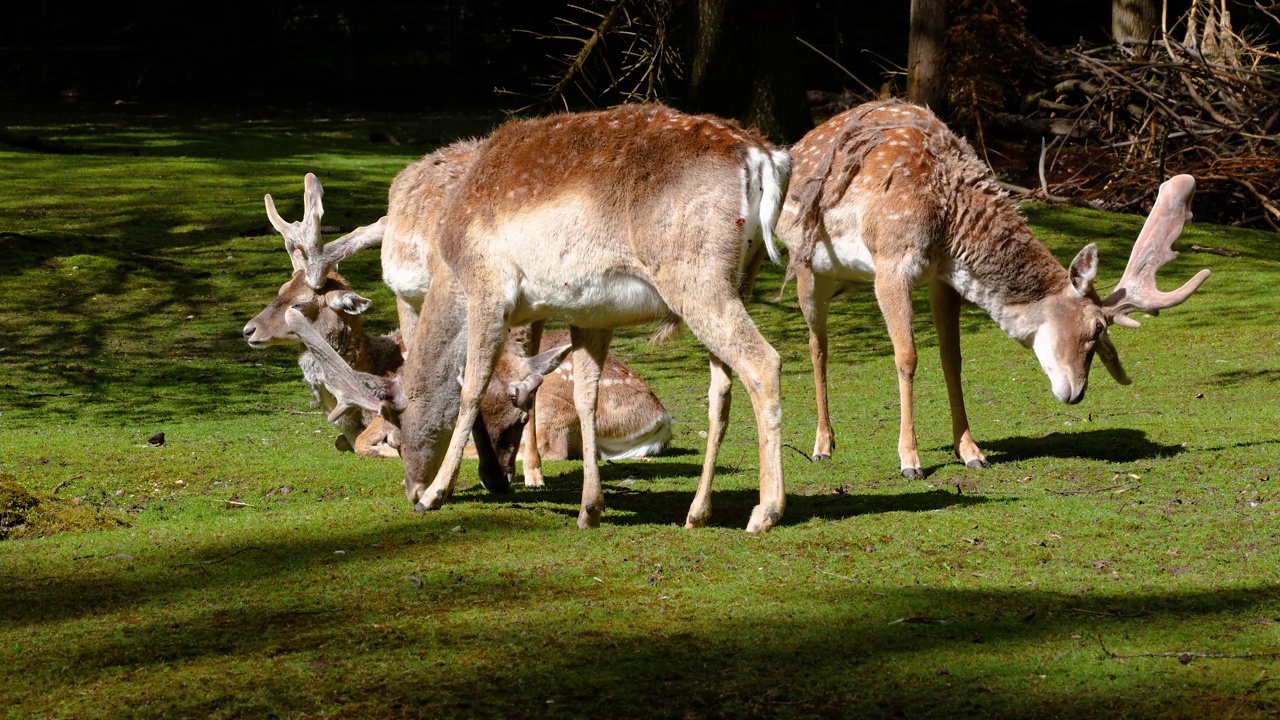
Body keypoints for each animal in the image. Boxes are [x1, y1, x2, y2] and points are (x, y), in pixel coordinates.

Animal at [394, 103, 793, 530]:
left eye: (396, 432)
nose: (411, 489)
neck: (450, 269)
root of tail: (766, 156)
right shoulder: (591, 316)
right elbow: (586, 396)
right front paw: (589, 508)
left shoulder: (487, 289)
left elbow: (472, 387)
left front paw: (435, 495)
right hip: (740, 280)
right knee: (722, 388)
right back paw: (697, 512)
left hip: (697, 279)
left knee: (764, 361)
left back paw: (765, 512)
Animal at [778, 96, 1208, 476]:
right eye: (1094, 328)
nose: (1077, 393)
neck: (947, 215)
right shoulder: (890, 262)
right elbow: (907, 358)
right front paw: (910, 461)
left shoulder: (942, 277)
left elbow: (952, 359)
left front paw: (972, 452)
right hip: (807, 268)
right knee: (817, 345)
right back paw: (822, 445)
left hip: (843, 278)